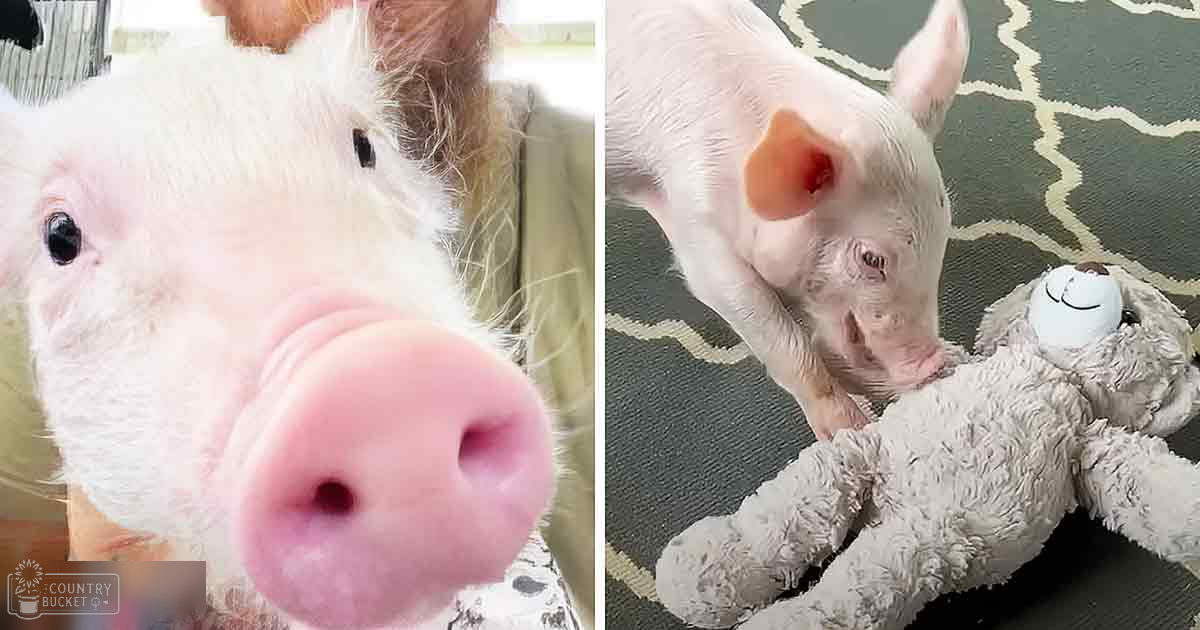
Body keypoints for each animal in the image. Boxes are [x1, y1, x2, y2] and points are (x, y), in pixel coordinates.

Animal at [605, 0, 969, 439]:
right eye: (871, 259)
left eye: (943, 237)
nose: (933, 361)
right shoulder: (696, 223)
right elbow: (778, 336)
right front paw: (848, 432)